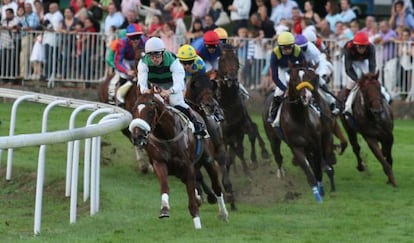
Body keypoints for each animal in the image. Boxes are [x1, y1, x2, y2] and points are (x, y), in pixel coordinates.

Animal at [129, 90, 228, 228]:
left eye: (150, 112)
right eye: (134, 110)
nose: (137, 137)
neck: (166, 136)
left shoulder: (188, 166)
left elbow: (192, 198)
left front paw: (197, 225)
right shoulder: (159, 163)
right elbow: (165, 186)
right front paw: (164, 209)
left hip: (208, 160)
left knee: (217, 187)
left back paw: (223, 214)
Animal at [186, 71, 234, 211]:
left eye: (211, 86)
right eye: (196, 86)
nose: (210, 105)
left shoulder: (219, 148)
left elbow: (223, 167)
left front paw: (229, 195)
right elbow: (198, 177)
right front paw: (208, 196)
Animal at [215, 43, 270, 173]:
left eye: (236, 60)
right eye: (223, 60)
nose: (231, 79)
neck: (228, 103)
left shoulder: (240, 125)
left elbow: (248, 137)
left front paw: (250, 165)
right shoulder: (224, 133)